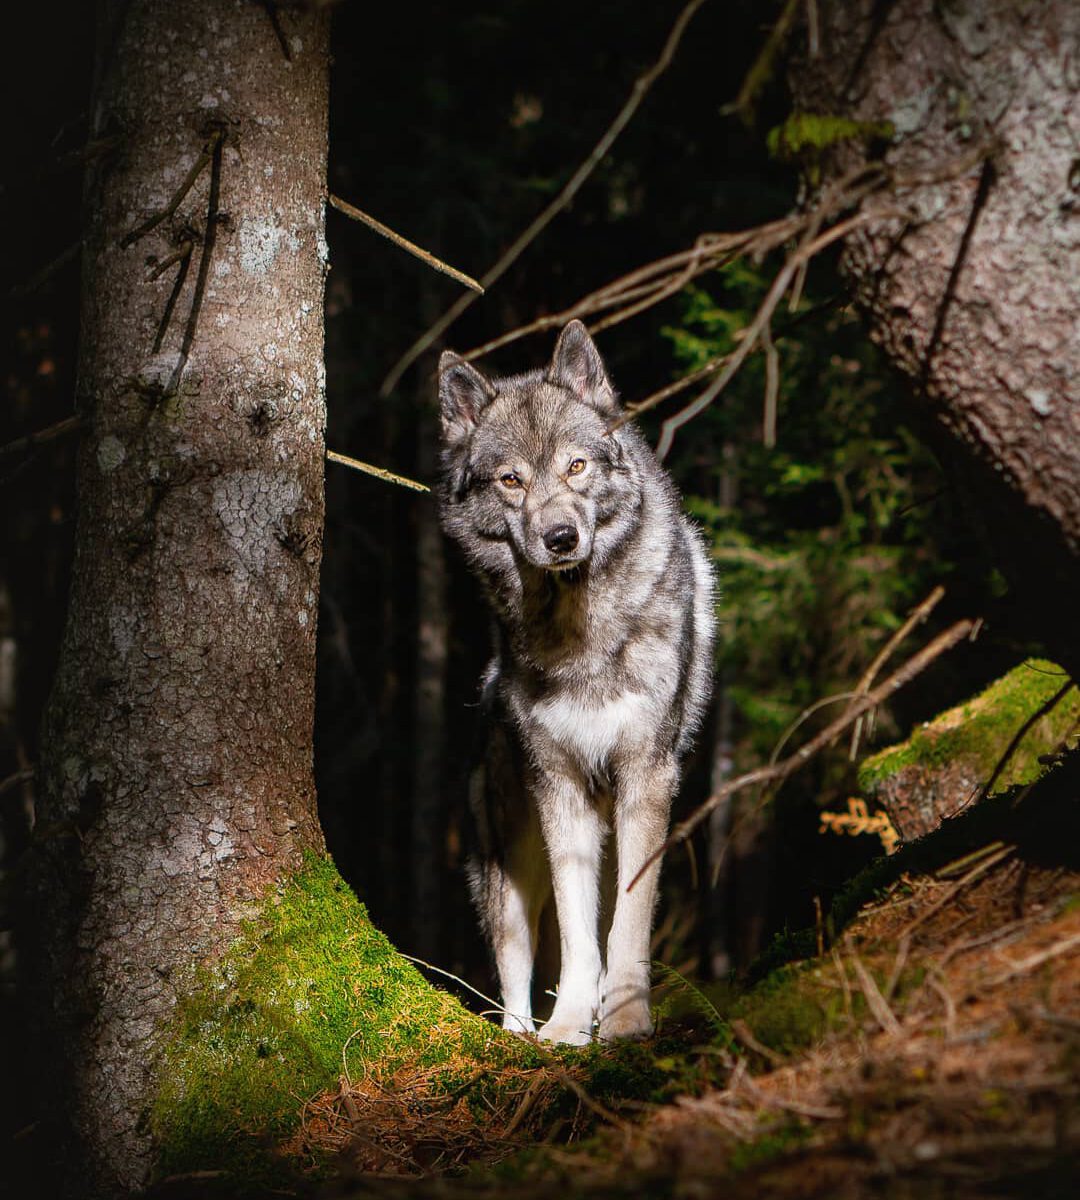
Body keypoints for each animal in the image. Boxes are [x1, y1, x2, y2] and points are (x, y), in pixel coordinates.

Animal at [439, 324, 715, 1046]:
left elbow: (627, 925)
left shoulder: (647, 778)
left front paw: (624, 1020)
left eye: (577, 467)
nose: (560, 537)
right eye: (512, 480)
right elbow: (575, 930)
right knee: (514, 961)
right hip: (510, 856)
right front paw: (567, 1027)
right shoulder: (560, 788)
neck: (576, 631)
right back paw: (521, 1034)